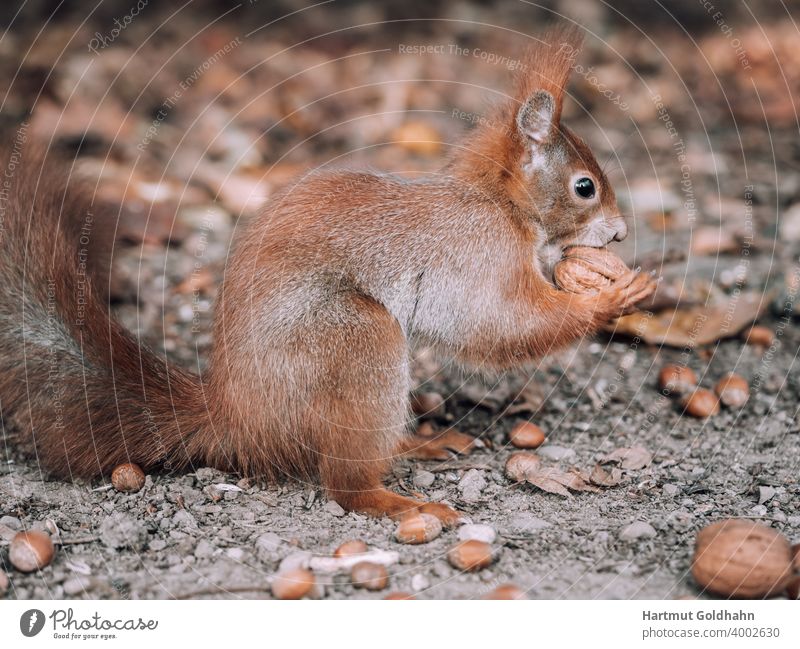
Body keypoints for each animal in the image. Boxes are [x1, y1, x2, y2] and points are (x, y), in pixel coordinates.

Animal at [0, 27, 656, 528]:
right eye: (584, 187)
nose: (622, 234)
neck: (498, 204)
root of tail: (237, 418)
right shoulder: (476, 259)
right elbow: (498, 326)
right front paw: (615, 297)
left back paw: (421, 442)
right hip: (356, 339)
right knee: (344, 482)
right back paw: (403, 502)